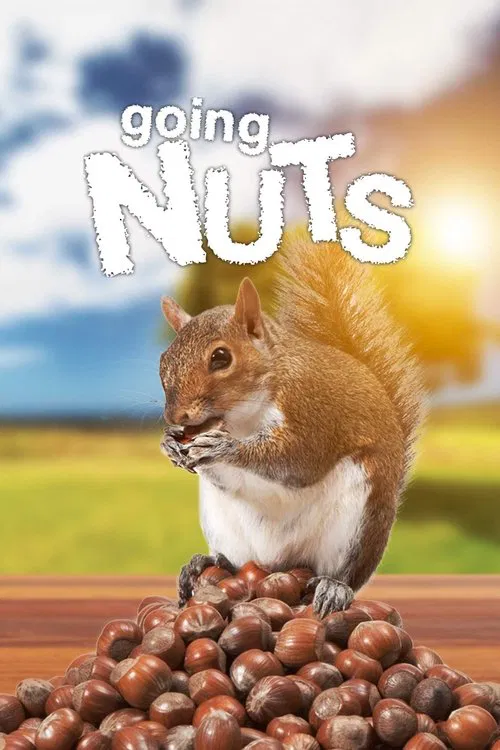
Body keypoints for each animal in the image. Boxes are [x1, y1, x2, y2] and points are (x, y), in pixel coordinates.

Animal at [159, 234, 425, 616]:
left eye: (221, 357)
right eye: (163, 360)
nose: (175, 417)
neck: (242, 417)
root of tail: (277, 563)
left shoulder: (313, 409)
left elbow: (298, 460)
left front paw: (223, 447)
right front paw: (170, 444)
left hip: (358, 521)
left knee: (345, 573)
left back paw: (334, 588)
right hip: (224, 526)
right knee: (236, 563)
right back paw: (205, 564)